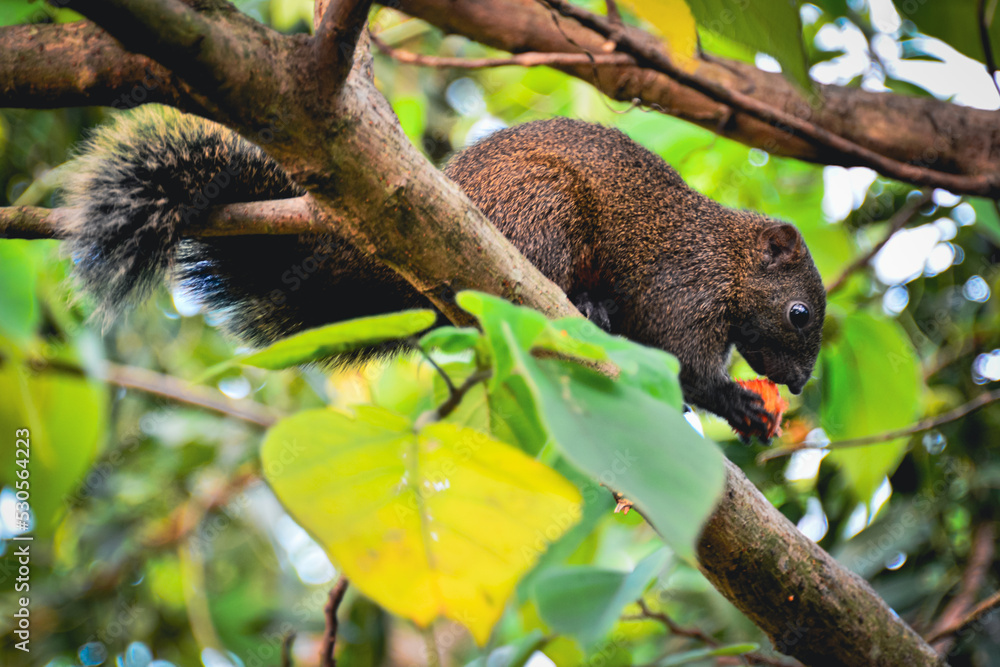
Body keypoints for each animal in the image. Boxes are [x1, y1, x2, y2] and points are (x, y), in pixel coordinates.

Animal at [64, 106, 828, 438]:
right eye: (799, 313)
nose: (795, 384)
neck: (725, 259)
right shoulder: (682, 289)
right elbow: (683, 363)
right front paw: (737, 402)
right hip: (542, 208)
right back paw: (583, 305)